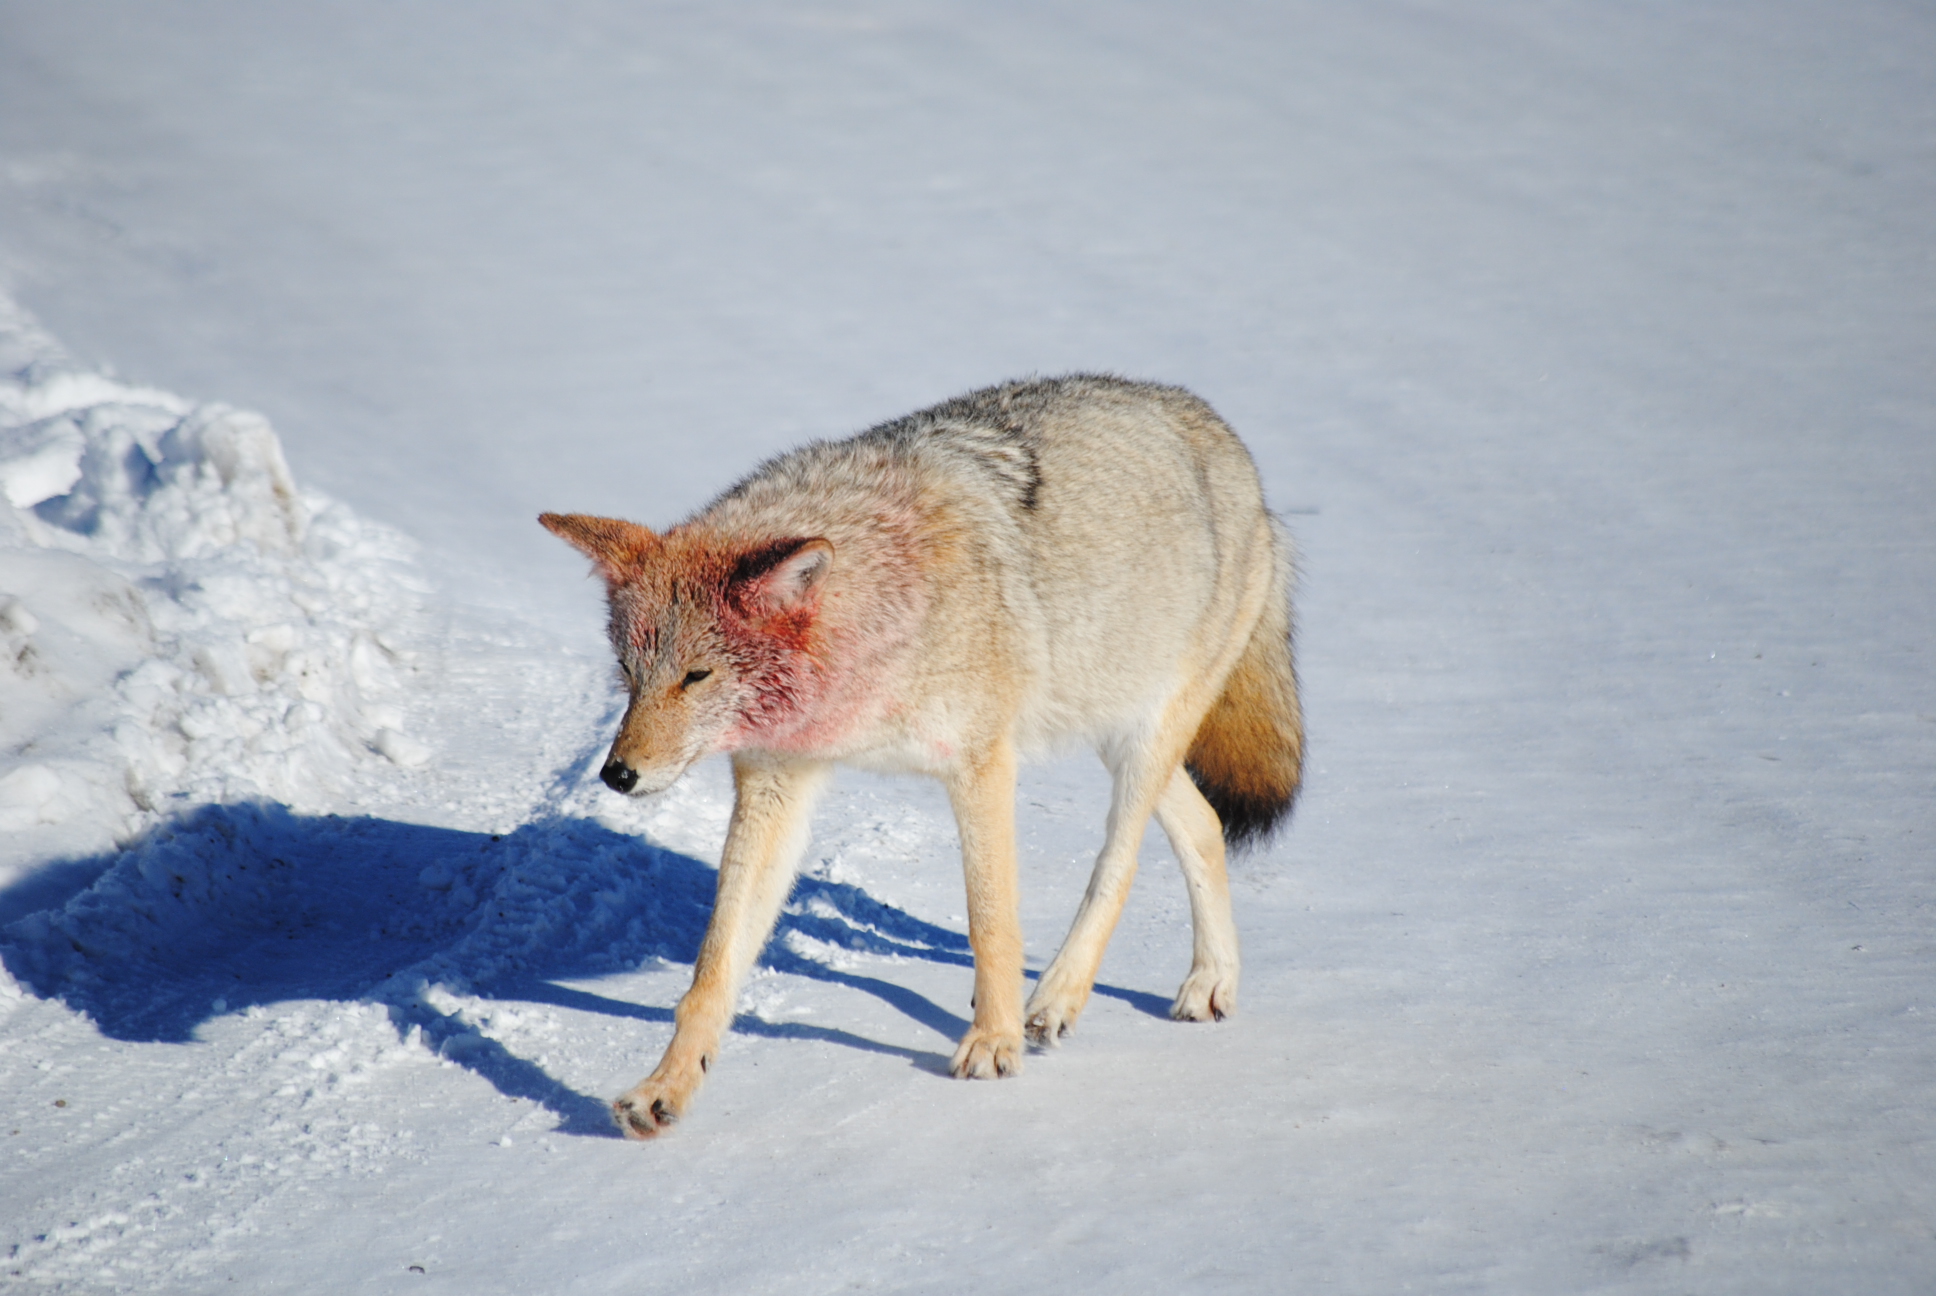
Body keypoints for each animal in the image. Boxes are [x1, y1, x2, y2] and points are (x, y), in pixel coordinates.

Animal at [541, 374, 1302, 1139]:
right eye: (629, 671)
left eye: (695, 676)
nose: (616, 774)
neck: (876, 628)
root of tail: (1218, 432)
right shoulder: (774, 783)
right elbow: (712, 971)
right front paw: (664, 1089)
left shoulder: (981, 766)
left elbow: (990, 924)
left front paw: (992, 1045)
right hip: (1112, 733)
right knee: (1205, 824)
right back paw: (1210, 983)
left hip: (1139, 741)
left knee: (1120, 864)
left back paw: (1054, 1002)